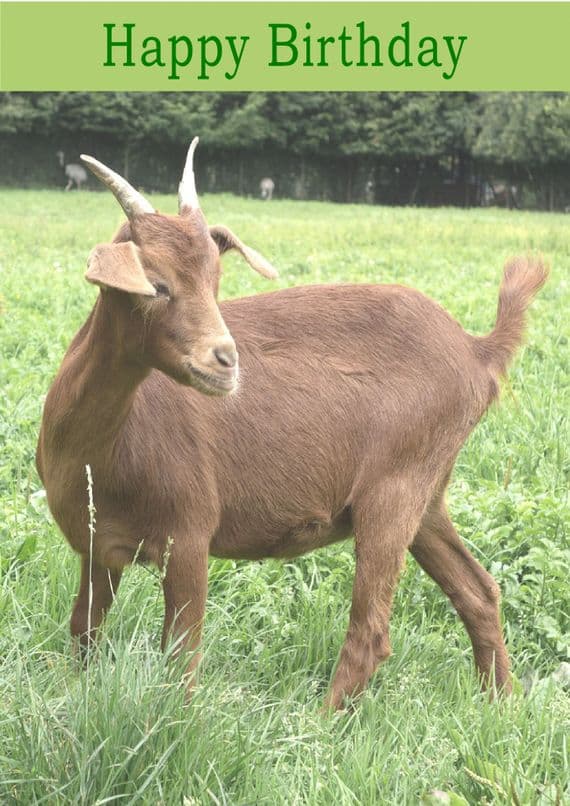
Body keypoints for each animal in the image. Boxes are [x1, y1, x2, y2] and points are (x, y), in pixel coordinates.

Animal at [37, 139, 547, 710]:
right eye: (156, 284)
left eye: (216, 282)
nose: (225, 360)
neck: (101, 448)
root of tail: (477, 350)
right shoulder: (98, 547)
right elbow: (84, 632)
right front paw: (77, 702)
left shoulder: (188, 532)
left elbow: (181, 658)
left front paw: (174, 722)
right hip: (428, 492)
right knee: (478, 590)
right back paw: (501, 703)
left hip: (396, 483)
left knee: (371, 630)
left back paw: (319, 723)